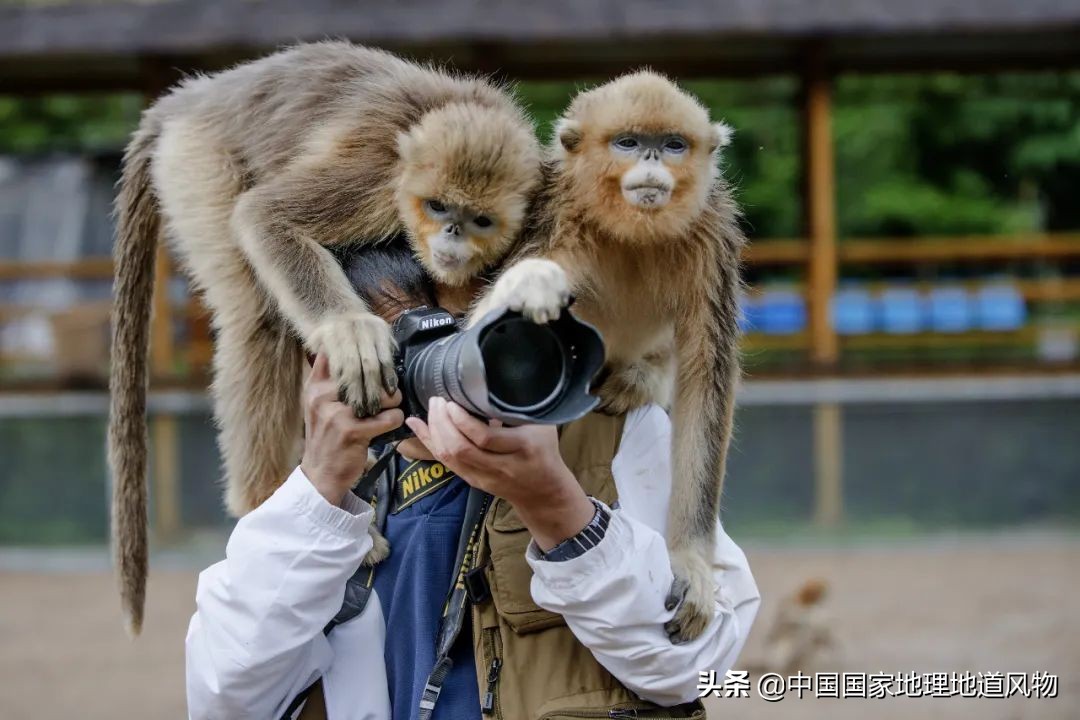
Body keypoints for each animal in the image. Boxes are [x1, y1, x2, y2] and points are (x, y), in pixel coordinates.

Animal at [109, 42, 540, 634]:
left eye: (478, 220)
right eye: (437, 207)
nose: (451, 236)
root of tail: (198, 95)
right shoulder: (379, 175)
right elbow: (267, 217)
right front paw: (348, 331)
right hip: (197, 160)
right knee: (258, 318)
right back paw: (272, 504)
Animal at [473, 71, 743, 643]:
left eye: (672, 145)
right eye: (628, 143)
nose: (652, 160)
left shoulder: (712, 235)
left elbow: (706, 376)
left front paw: (691, 562)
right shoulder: (556, 215)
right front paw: (531, 285)